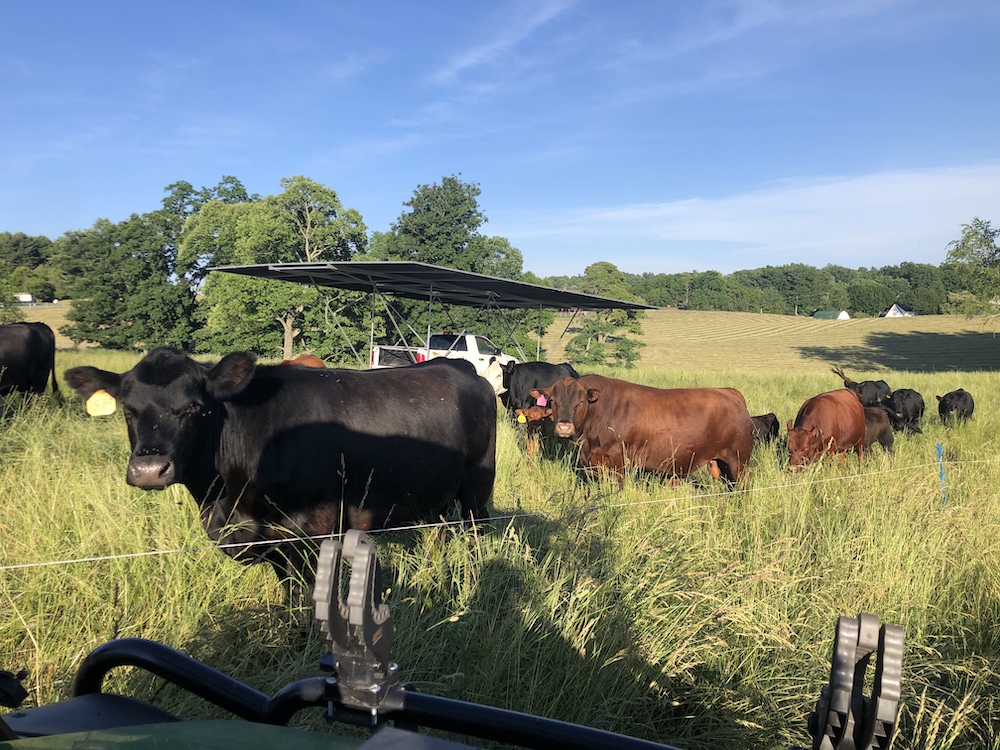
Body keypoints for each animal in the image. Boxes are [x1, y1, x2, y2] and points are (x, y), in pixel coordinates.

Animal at [64, 348, 496, 593]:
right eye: (128, 409)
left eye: (195, 408)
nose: (150, 468)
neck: (225, 500)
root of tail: (458, 367)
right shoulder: (268, 538)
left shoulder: (313, 531)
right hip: (433, 496)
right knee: (439, 533)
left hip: (477, 485)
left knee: (476, 535)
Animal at [535, 374, 754, 484]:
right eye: (552, 400)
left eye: (580, 402)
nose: (564, 425)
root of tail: (728, 392)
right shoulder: (591, 463)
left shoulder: (618, 463)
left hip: (738, 461)